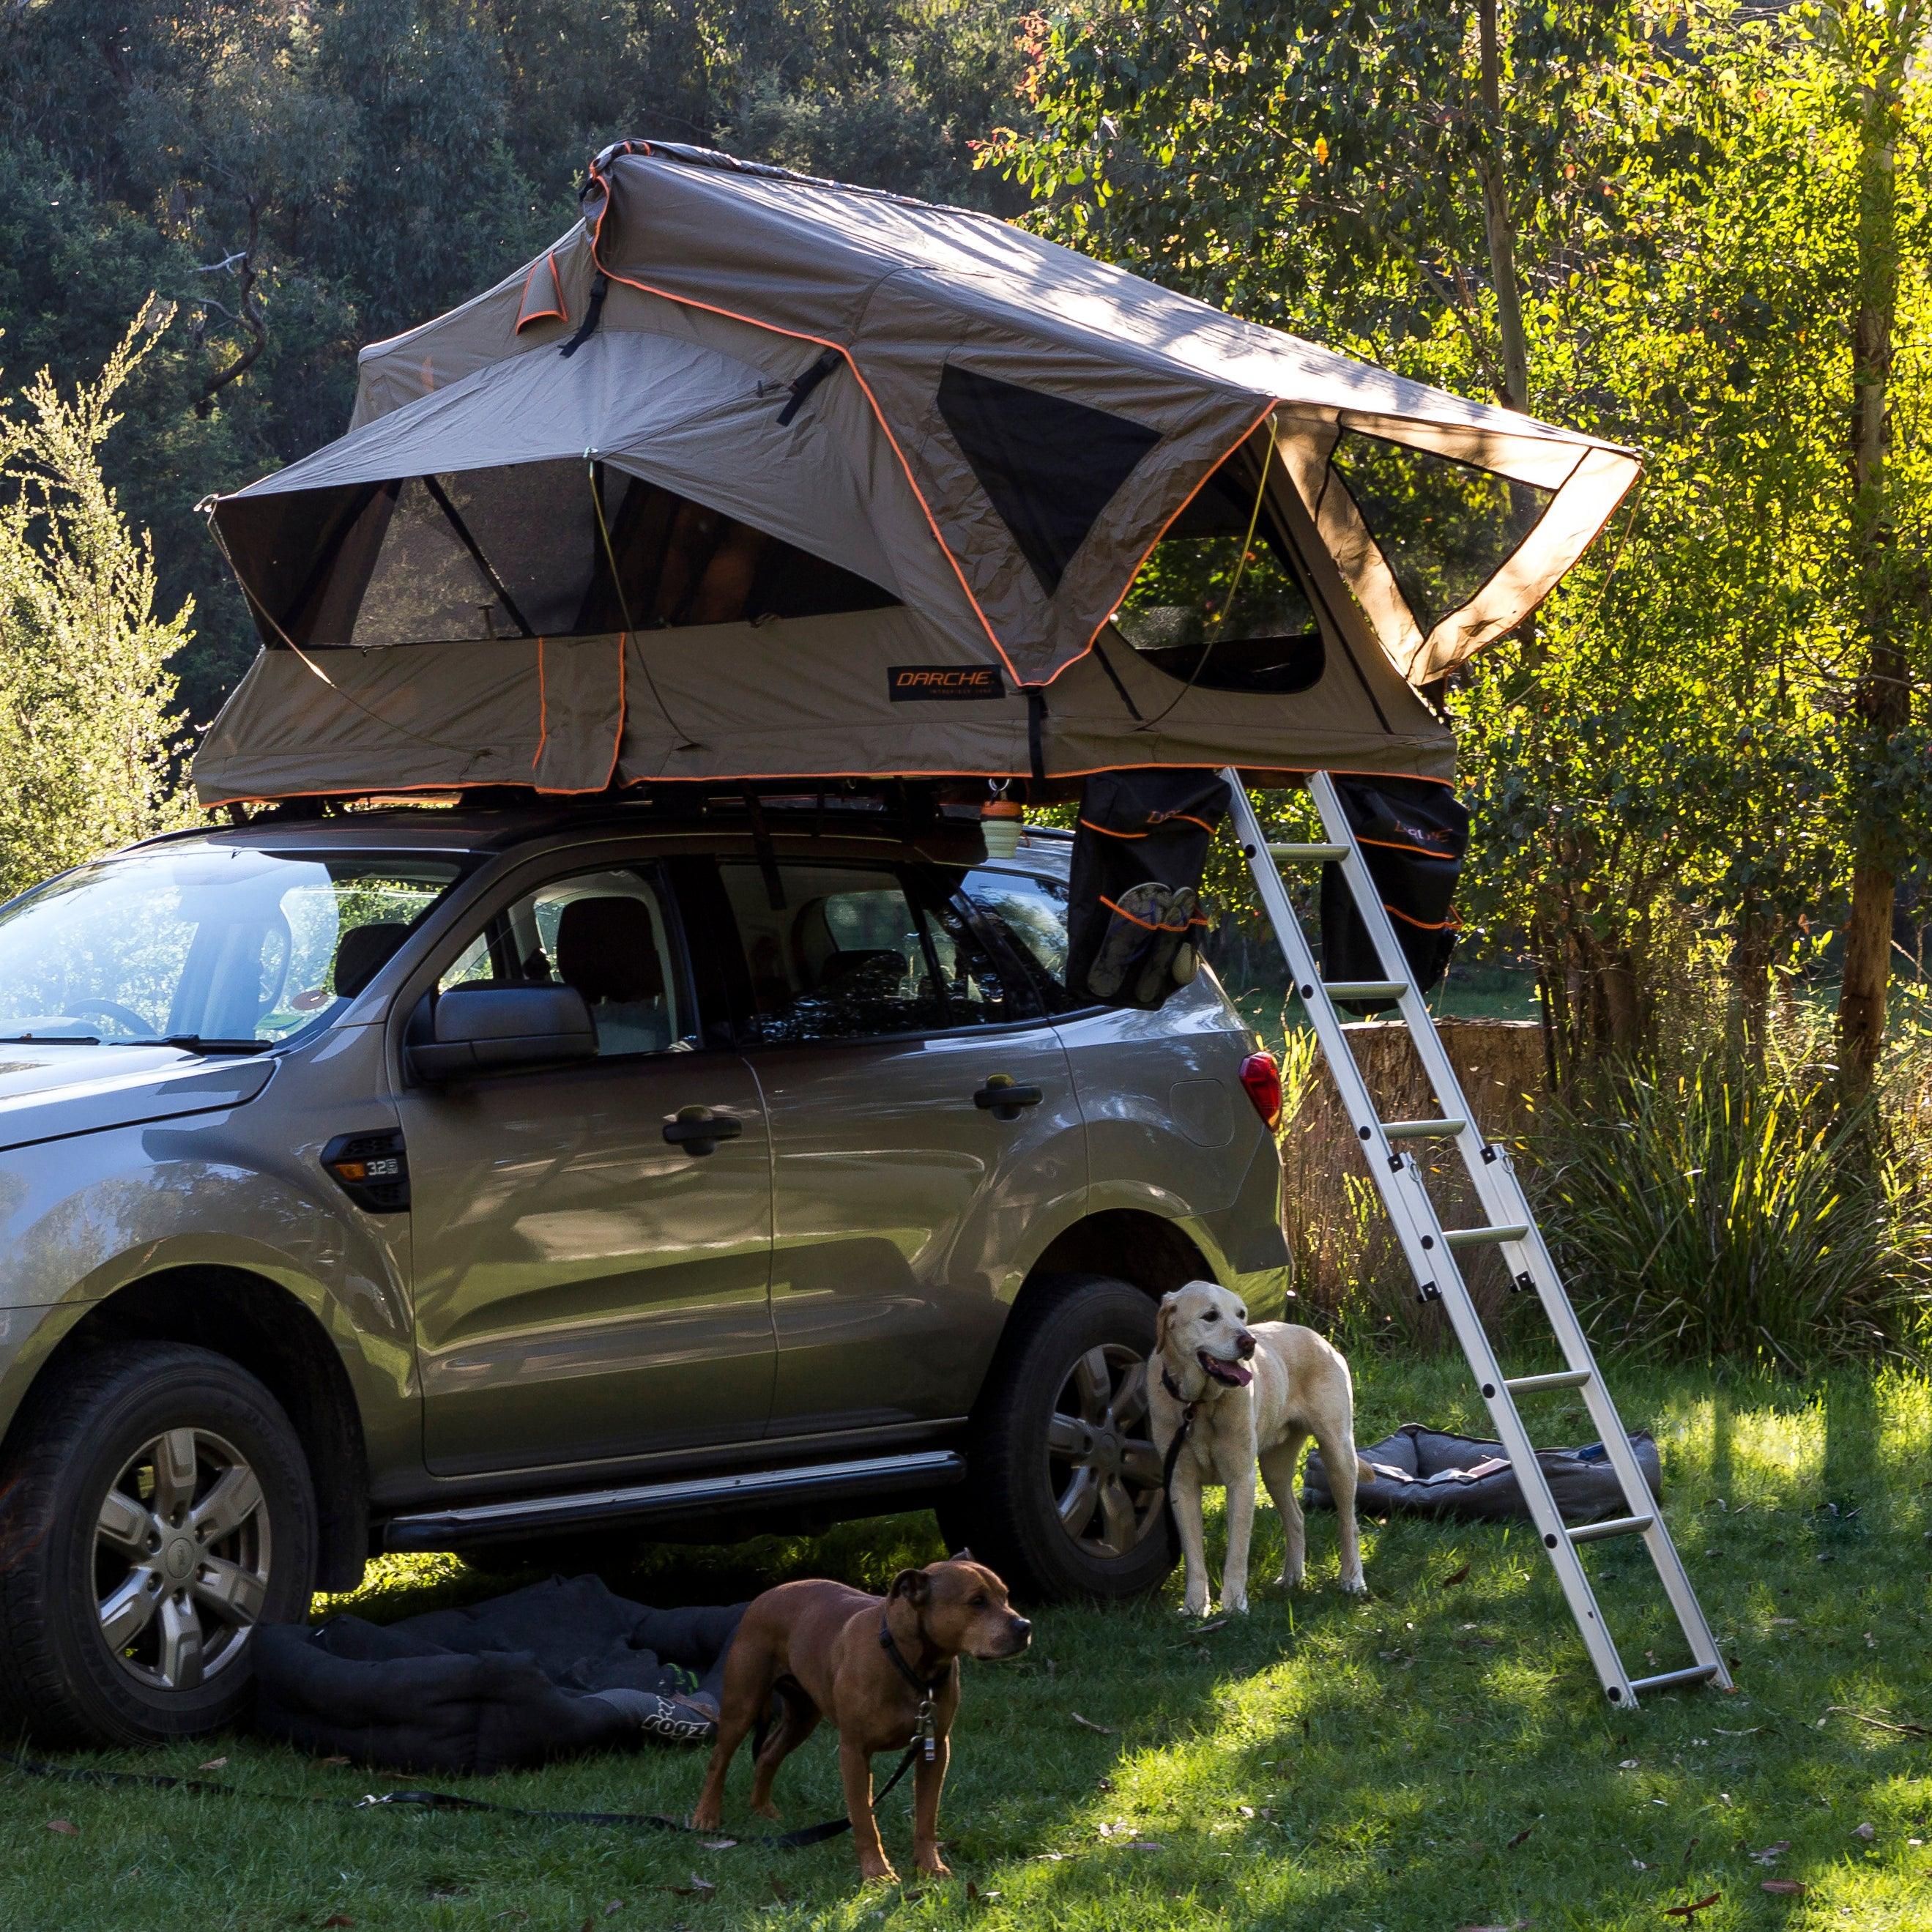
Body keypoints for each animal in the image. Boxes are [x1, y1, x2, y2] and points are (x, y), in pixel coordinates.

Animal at [691, 1553, 1035, 1885]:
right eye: (977, 1601)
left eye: (1005, 1596)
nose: (1025, 1626)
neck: (908, 1662)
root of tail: (764, 1596)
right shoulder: (854, 1752)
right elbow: (863, 1819)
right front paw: (877, 1873)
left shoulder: (934, 1750)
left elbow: (927, 1817)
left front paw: (930, 1866)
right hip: (743, 1704)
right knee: (719, 1759)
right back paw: (706, 1817)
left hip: (802, 1718)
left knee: (768, 1753)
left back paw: (762, 1809)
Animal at [1143, 1282, 1375, 1615]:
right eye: (1210, 1316)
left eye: (1241, 1314)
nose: (1248, 1341)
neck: (1199, 1406)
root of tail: (1319, 1338)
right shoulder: (1181, 1484)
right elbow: (1193, 1553)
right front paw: (1194, 1607)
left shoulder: (1241, 1480)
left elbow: (1237, 1552)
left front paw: (1234, 1605)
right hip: (1274, 1471)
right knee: (1296, 1518)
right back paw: (1292, 1576)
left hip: (1339, 1454)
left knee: (1349, 1524)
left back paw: (1353, 1579)